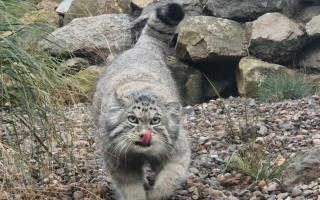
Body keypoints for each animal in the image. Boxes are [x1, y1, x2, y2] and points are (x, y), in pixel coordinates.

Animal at [92, 3, 190, 200]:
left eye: (155, 121)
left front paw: (156, 193)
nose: (145, 135)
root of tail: (142, 48)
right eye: (132, 119)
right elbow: (131, 189)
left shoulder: (177, 151)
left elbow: (170, 177)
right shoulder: (119, 161)